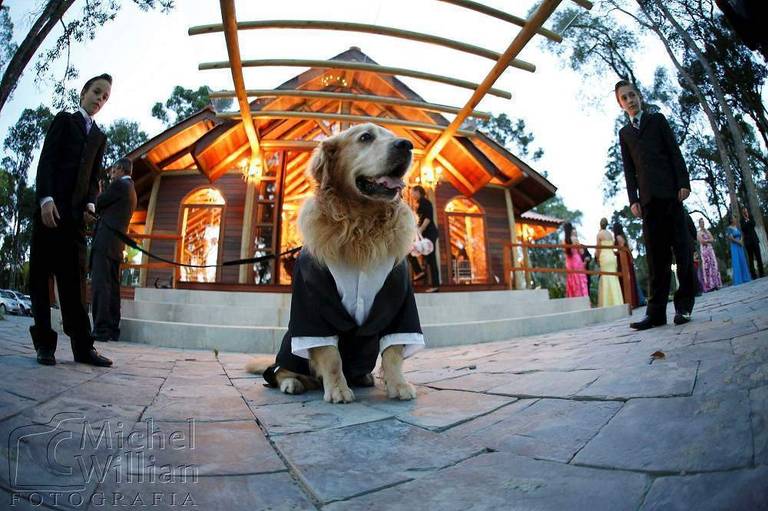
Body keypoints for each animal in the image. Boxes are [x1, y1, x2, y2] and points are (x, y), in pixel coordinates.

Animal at [245, 123, 424, 403]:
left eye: (393, 134)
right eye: (365, 137)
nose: (406, 145)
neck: (362, 224)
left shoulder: (398, 300)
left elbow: (393, 352)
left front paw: (398, 384)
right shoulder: (313, 305)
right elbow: (331, 357)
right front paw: (338, 389)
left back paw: (363, 377)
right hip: (290, 344)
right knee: (279, 371)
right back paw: (292, 383)